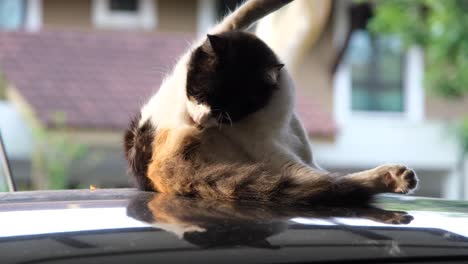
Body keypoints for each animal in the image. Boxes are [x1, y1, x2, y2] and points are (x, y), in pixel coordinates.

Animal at [122, 0, 418, 204]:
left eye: (227, 109)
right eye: (196, 92)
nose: (200, 120)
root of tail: (152, 168)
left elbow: (240, 17)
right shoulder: (271, 152)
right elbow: (240, 15)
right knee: (329, 183)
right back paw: (391, 177)